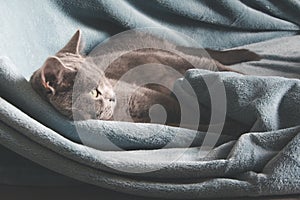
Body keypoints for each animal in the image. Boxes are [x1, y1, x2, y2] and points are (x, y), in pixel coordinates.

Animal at [31, 30, 260, 129]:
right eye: (94, 92)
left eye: (105, 77)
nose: (112, 97)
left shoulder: (158, 97)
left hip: (187, 60)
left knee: (218, 66)